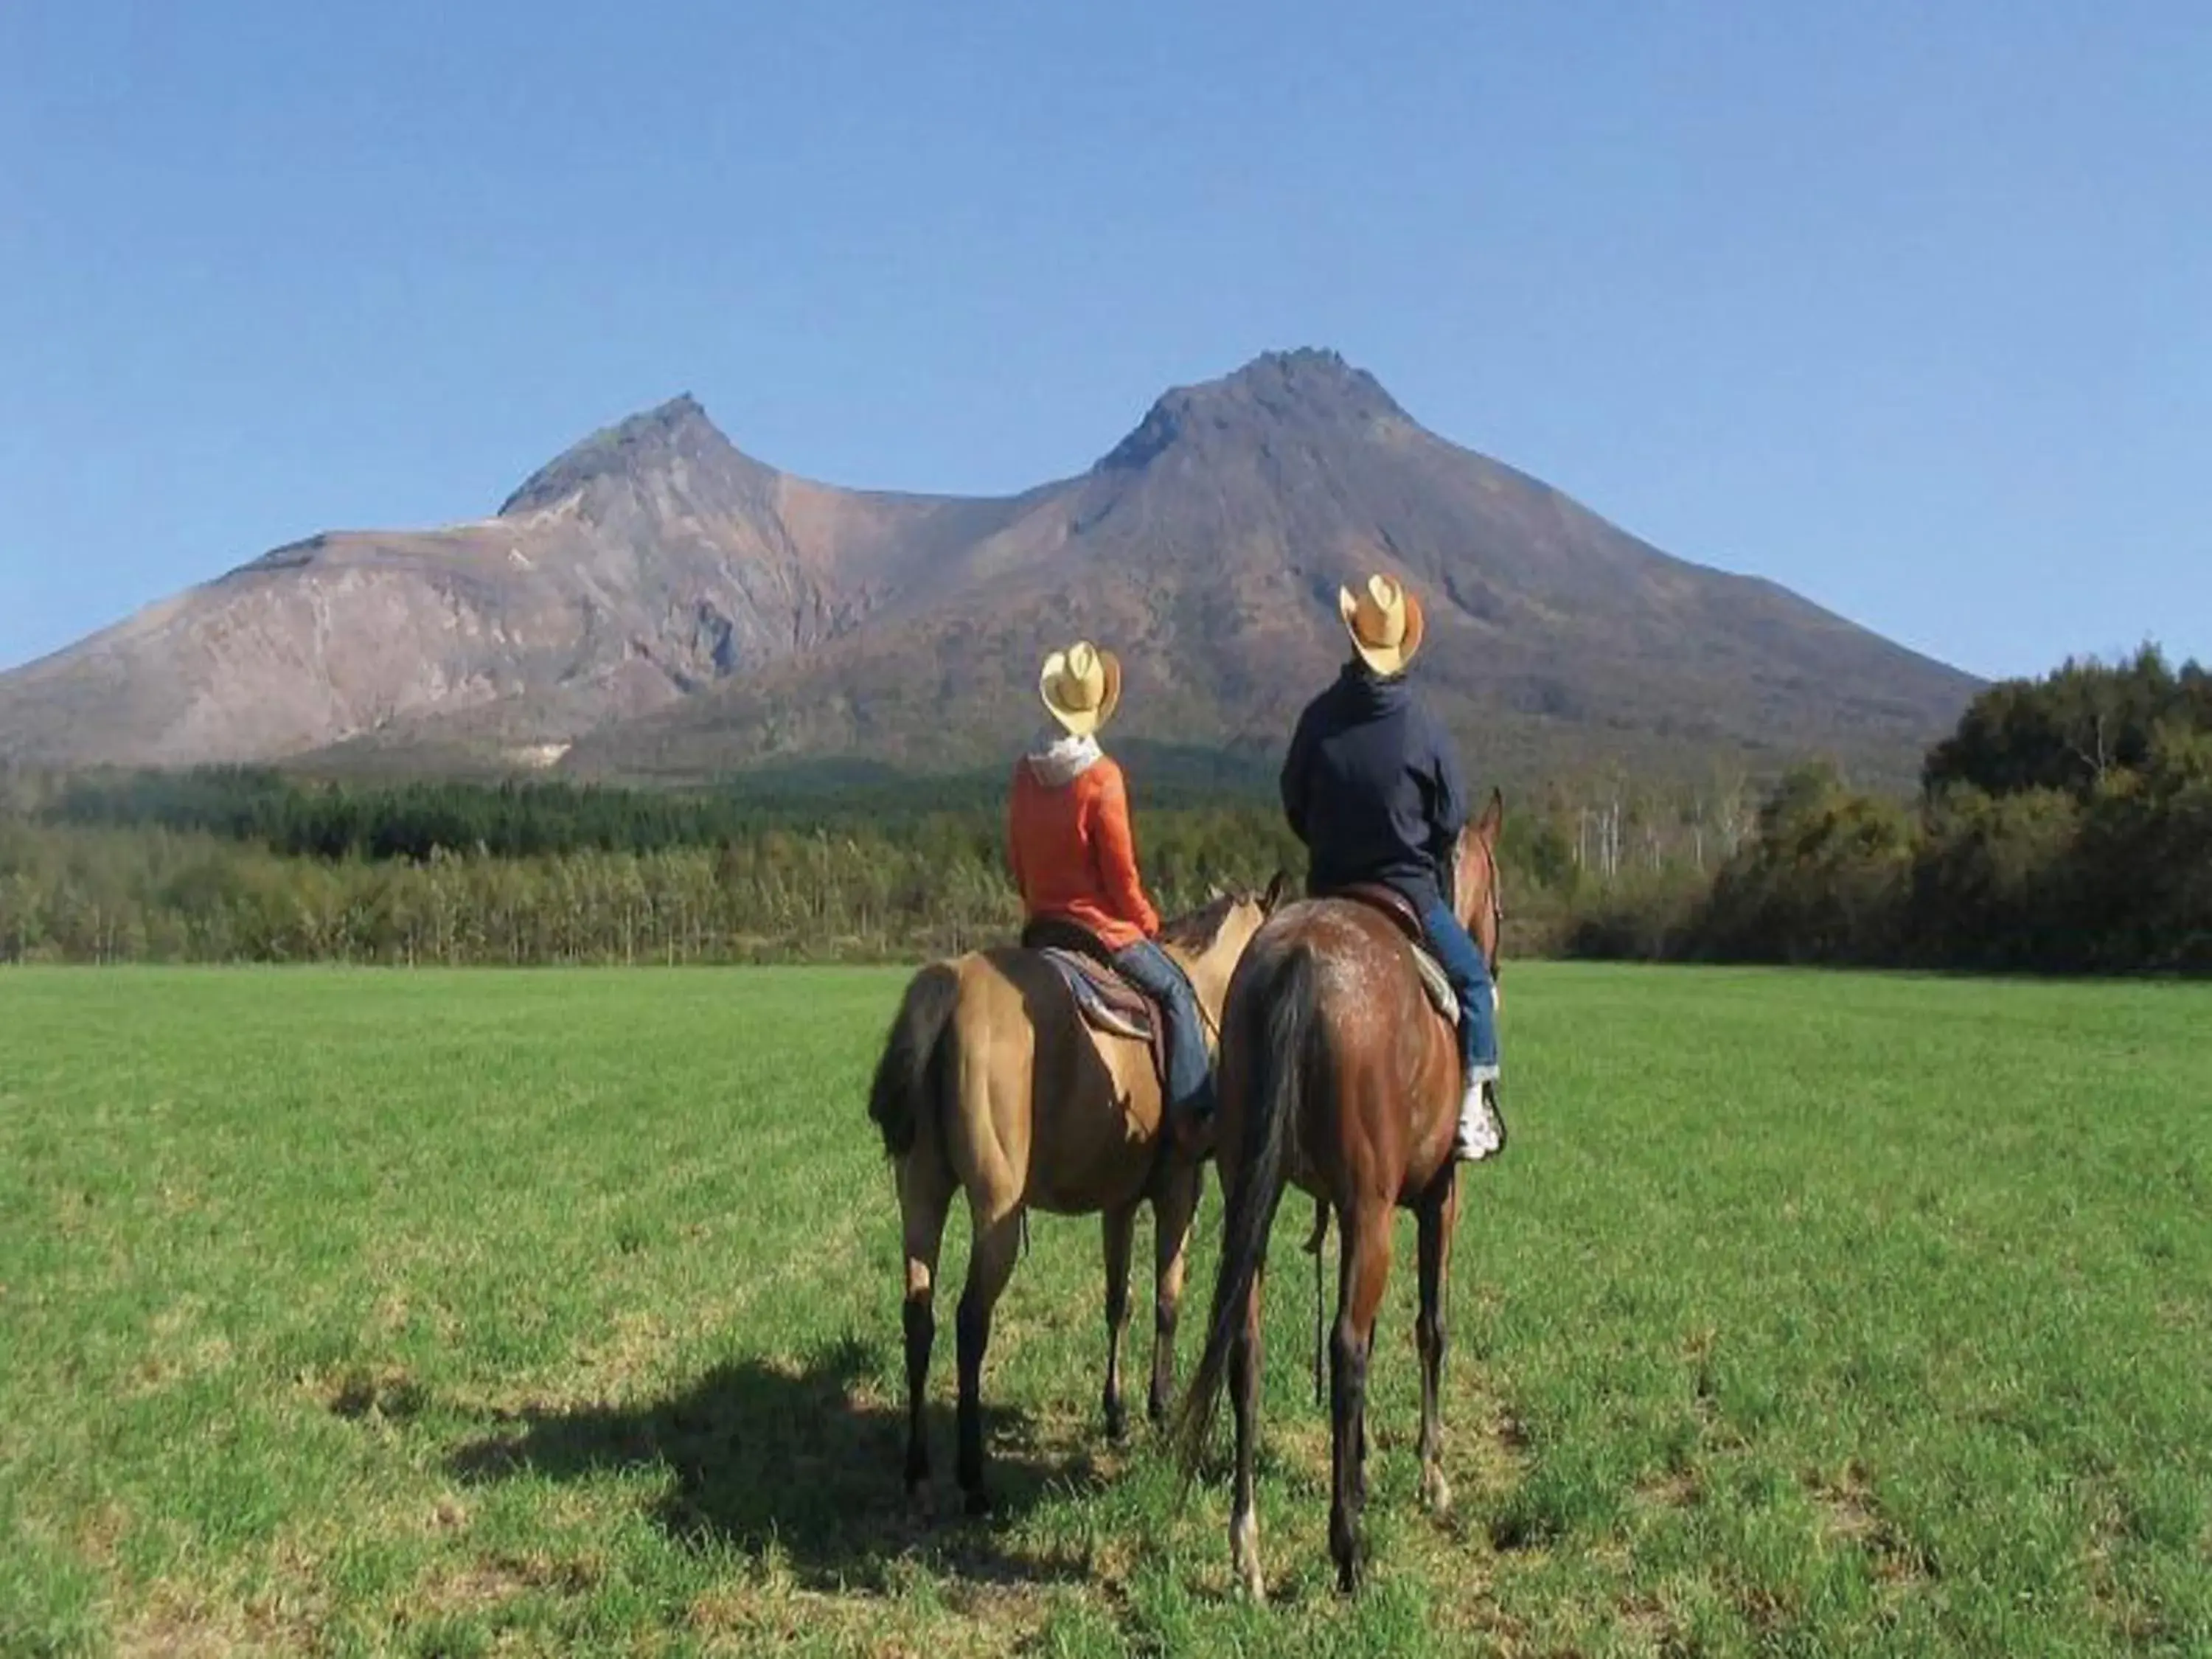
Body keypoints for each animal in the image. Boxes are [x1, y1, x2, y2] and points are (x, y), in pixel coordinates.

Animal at [858, 885, 1292, 1522]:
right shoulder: (1179, 1188)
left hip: (921, 1195)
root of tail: (949, 986)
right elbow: (1167, 1299)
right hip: (996, 1216)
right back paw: (973, 1480)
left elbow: (1118, 1302)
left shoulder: (1119, 1202)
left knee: (919, 1315)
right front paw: (1160, 1406)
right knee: (970, 1321)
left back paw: (917, 1472)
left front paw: (1115, 1414)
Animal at [1177, 801, 1504, 1601]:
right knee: (1347, 1348)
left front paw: (1362, 1468)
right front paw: (1430, 1476)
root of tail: (1299, 961)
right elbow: (1428, 1328)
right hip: (1370, 1208)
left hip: (1253, 1201)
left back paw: (1247, 1550)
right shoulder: (1437, 1201)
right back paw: (1348, 1551)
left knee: (1246, 1348)